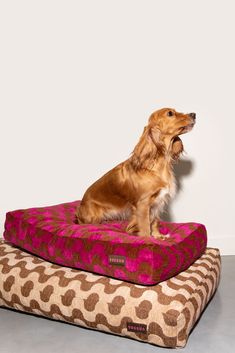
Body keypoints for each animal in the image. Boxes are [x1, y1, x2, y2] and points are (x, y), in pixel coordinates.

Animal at [76, 107, 196, 238]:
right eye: (170, 113)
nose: (194, 114)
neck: (157, 163)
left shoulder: (157, 202)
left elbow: (154, 222)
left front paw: (158, 236)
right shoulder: (143, 204)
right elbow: (145, 227)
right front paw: (147, 239)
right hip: (93, 217)